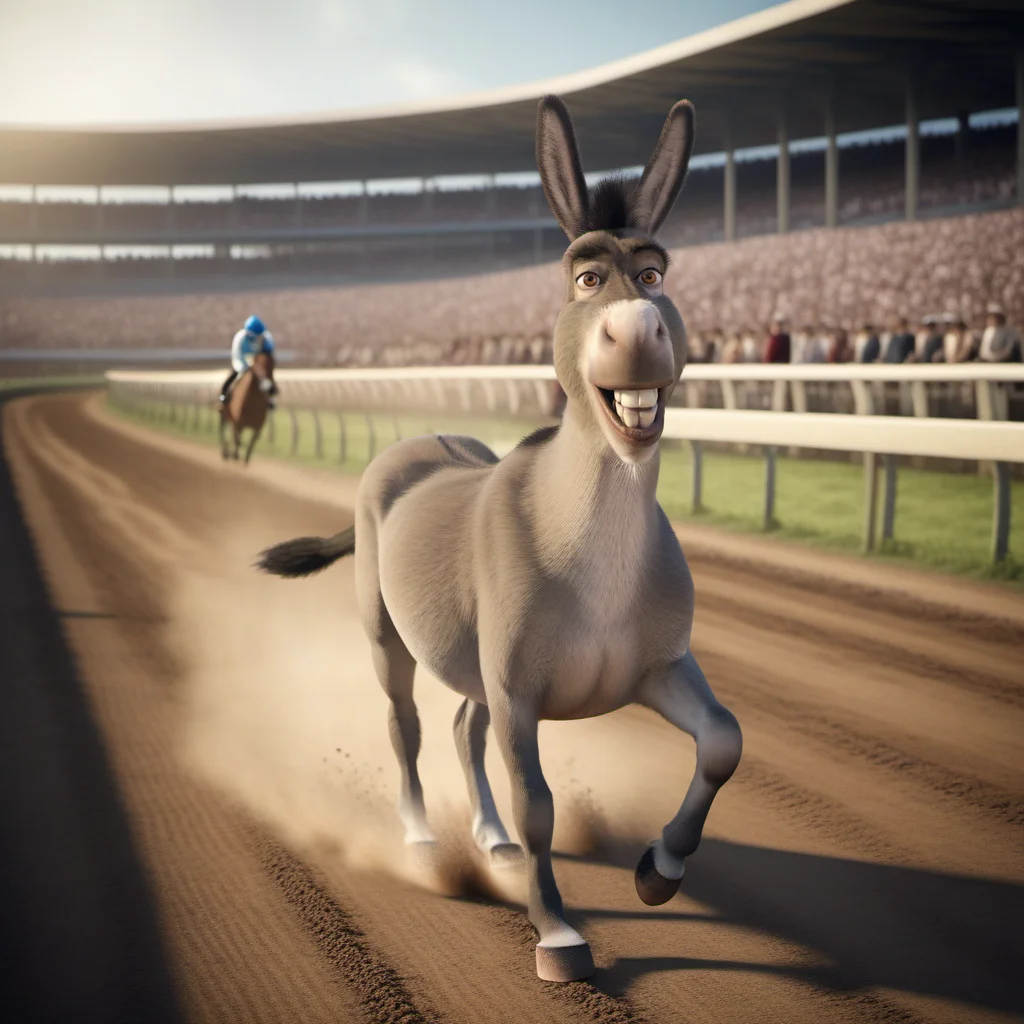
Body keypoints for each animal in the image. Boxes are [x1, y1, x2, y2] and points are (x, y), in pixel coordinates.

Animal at [255, 94, 742, 984]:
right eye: (586, 277)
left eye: (656, 274)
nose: (638, 333)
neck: (590, 558)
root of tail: (410, 446)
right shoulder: (519, 688)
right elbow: (538, 803)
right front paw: (558, 937)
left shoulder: (654, 666)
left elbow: (723, 738)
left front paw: (658, 869)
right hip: (387, 635)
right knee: (407, 724)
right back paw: (423, 837)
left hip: (474, 662)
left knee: (459, 726)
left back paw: (491, 840)